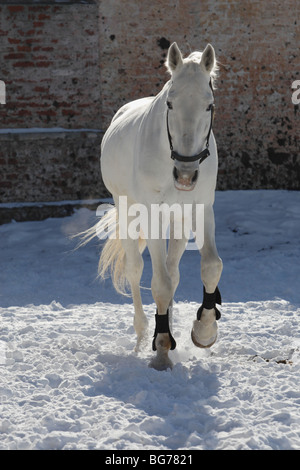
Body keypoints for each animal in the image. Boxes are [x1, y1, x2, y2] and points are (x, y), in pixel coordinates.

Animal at [83, 42, 221, 370]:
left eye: (209, 106)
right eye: (170, 103)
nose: (185, 174)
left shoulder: (201, 208)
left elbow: (210, 266)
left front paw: (204, 332)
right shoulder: (152, 216)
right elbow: (159, 284)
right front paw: (160, 351)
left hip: (178, 221)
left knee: (173, 272)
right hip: (129, 214)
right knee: (136, 270)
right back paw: (143, 334)